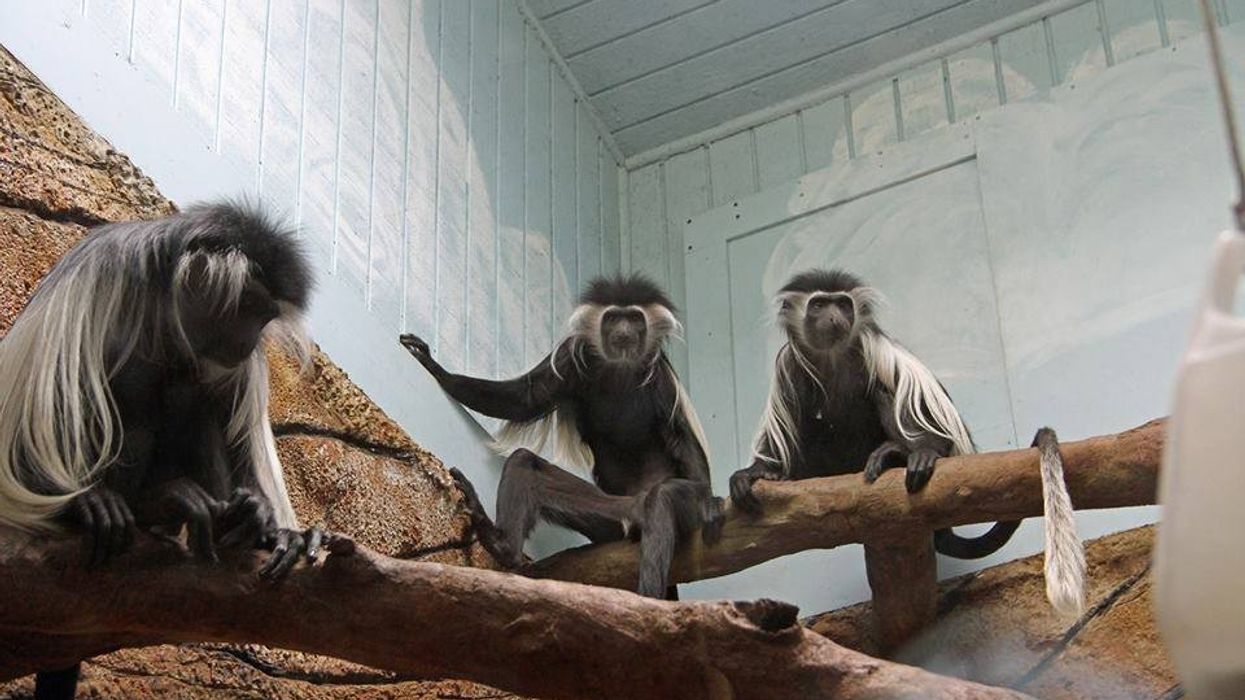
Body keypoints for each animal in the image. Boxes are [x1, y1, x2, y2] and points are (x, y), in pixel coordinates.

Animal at [0, 202, 330, 699]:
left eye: (266, 316)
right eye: (249, 308)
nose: (251, 340)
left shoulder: (233, 363)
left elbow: (239, 432)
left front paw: (276, 530)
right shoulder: (109, 272)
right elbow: (57, 389)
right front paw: (85, 503)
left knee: (192, 393)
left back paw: (231, 518)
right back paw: (133, 505)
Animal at [400, 273, 722, 599]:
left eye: (634, 318)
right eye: (613, 318)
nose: (623, 331)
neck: (619, 367)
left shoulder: (660, 378)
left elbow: (679, 436)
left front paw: (709, 503)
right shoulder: (572, 357)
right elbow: (526, 397)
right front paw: (435, 367)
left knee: (663, 498)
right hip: (611, 519)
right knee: (524, 462)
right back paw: (502, 544)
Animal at [729, 269, 1086, 615]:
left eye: (843, 303)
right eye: (818, 304)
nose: (834, 316)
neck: (832, 355)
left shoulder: (874, 345)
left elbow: (910, 395)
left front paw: (922, 450)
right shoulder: (788, 364)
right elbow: (784, 422)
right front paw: (760, 471)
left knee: (886, 390)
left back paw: (900, 455)